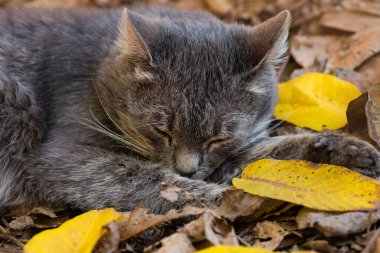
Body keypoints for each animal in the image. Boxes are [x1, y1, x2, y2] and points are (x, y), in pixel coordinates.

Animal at [0, 6, 380, 213]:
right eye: (161, 130)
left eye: (218, 138)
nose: (186, 169)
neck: (97, 64)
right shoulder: (65, 156)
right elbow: (146, 178)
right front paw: (220, 197)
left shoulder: (225, 156)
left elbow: (262, 156)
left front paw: (340, 150)